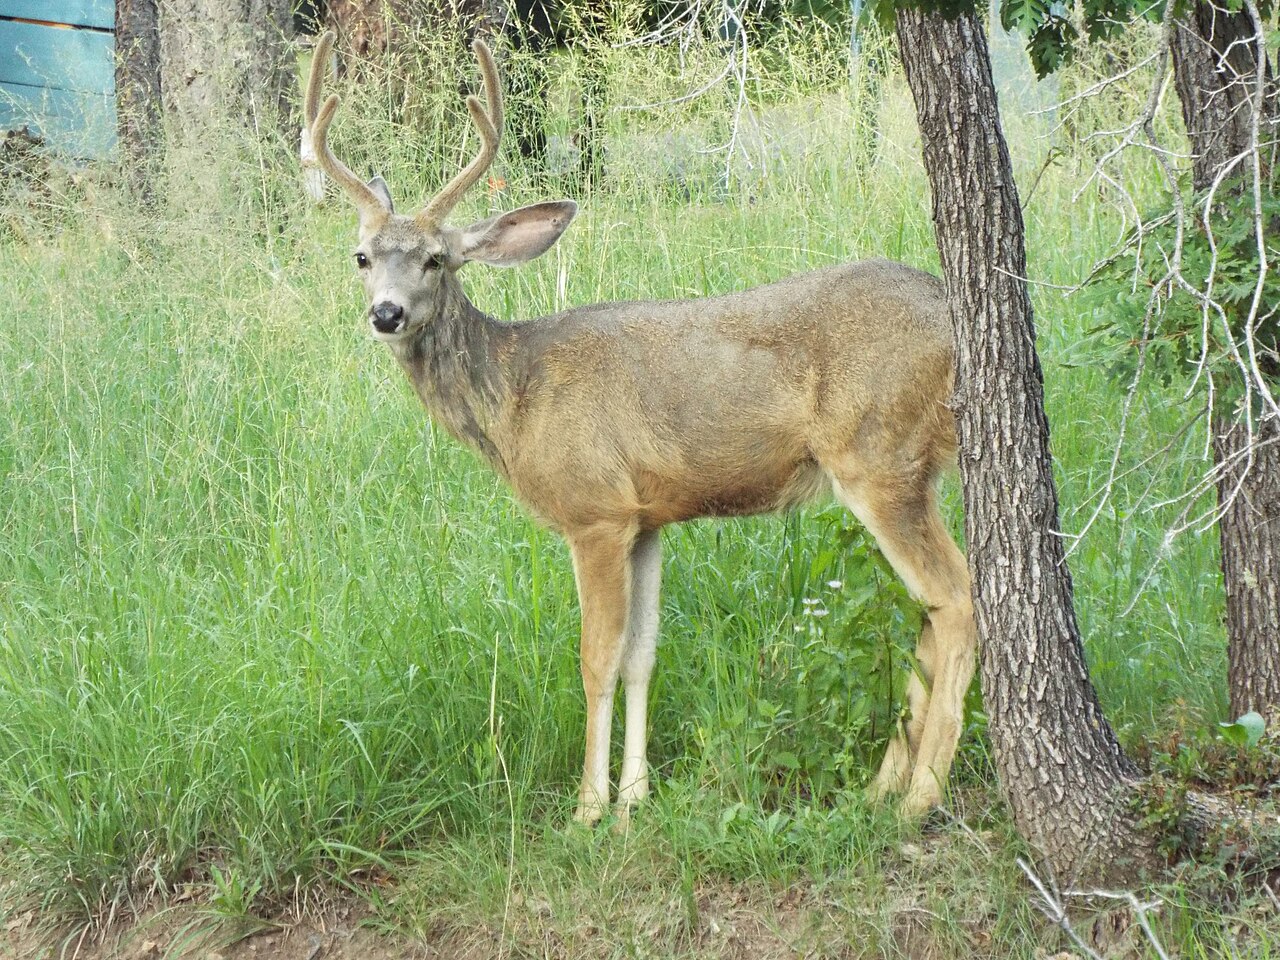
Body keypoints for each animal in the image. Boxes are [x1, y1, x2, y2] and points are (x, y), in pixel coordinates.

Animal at [304, 31, 978, 824]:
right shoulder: (648, 516)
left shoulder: (593, 510)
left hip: (878, 456)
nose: (387, 313)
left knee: (956, 599)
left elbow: (596, 657)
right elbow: (642, 656)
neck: (516, 395)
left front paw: (588, 808)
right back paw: (882, 785)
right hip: (914, 467)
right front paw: (634, 798)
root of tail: (953, 321)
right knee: (927, 610)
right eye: (362, 257)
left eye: (437, 260)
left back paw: (920, 797)